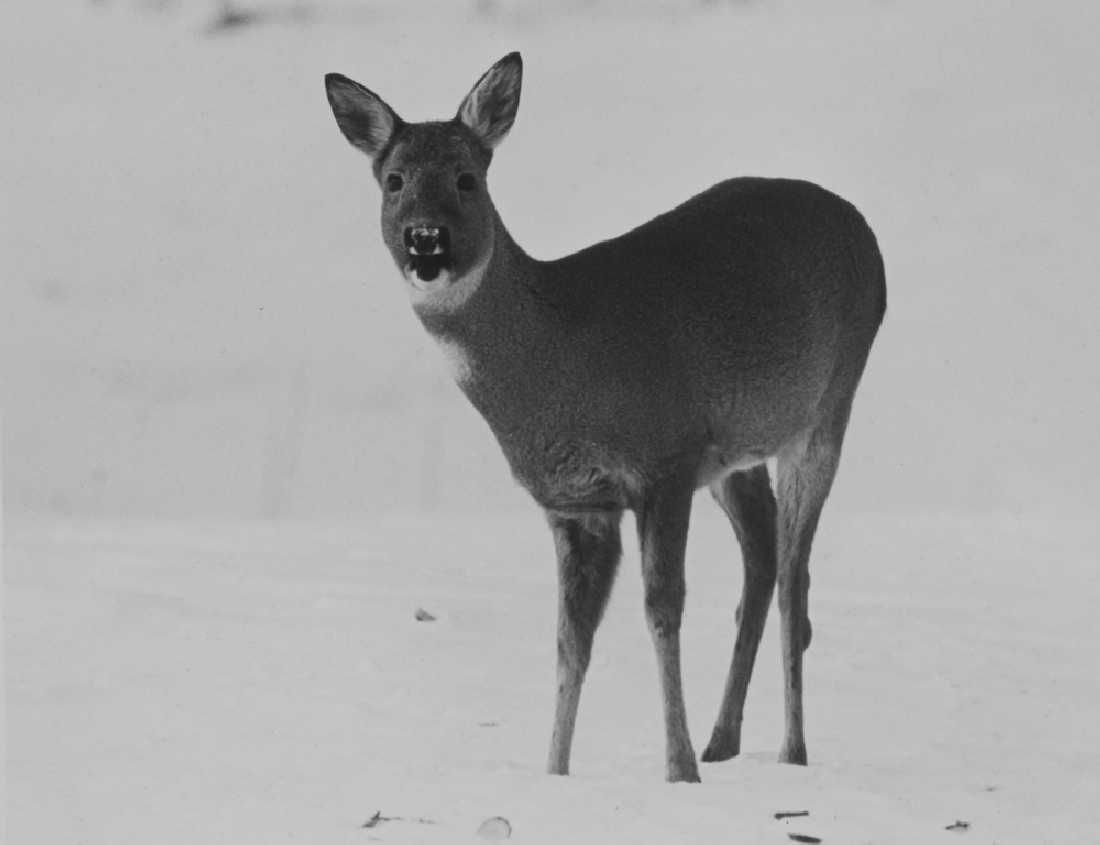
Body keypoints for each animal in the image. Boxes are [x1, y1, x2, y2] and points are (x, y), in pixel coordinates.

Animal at [323, 49, 884, 783]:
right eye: (393, 181)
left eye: (467, 178)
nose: (426, 241)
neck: (560, 365)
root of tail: (862, 227)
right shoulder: (576, 502)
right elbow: (571, 638)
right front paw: (556, 773)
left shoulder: (664, 459)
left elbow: (661, 610)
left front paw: (678, 771)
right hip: (737, 450)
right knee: (763, 556)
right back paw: (724, 741)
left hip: (829, 405)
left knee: (795, 573)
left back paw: (790, 753)